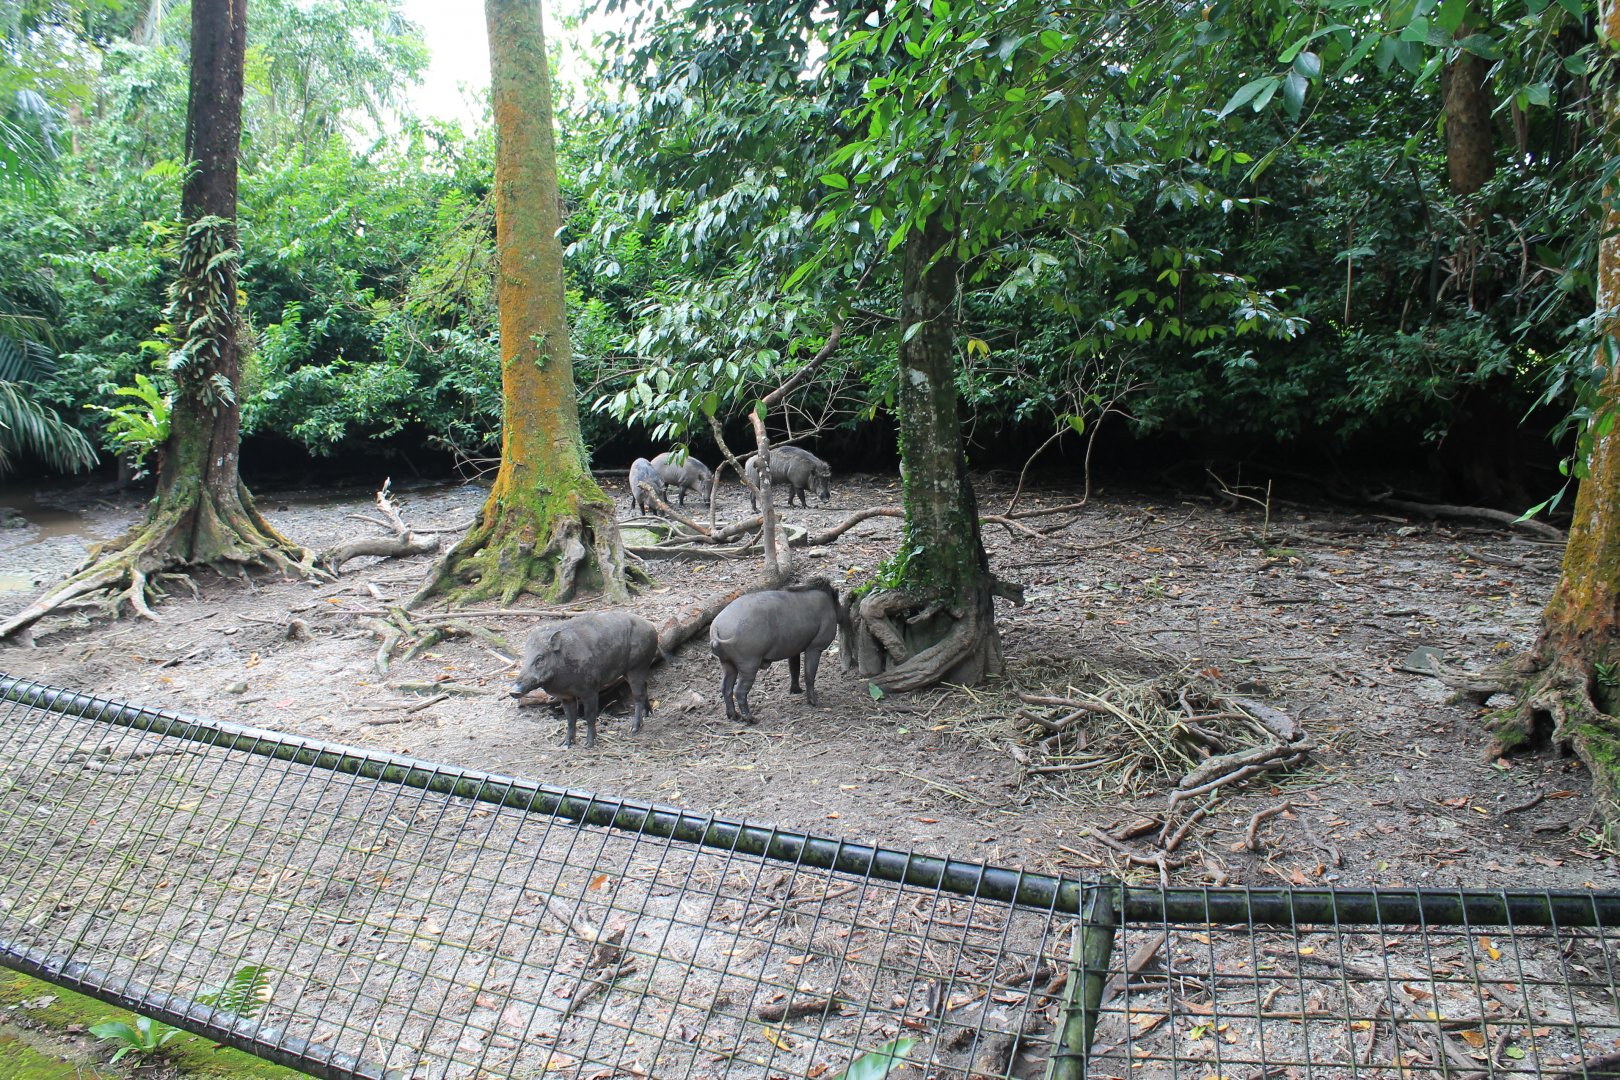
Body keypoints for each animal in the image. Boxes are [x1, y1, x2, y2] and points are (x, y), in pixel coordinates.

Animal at [510, 611, 660, 748]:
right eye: (525, 657)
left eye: (539, 659)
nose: (513, 691)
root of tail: (652, 627)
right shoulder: (566, 696)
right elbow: (570, 718)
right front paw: (564, 744)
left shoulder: (590, 689)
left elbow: (589, 715)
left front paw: (588, 744)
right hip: (629, 671)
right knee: (645, 687)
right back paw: (648, 714)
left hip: (638, 665)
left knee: (638, 695)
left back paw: (634, 729)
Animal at [709, 578, 841, 724]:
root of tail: (716, 628)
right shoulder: (815, 648)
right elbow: (809, 674)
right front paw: (814, 702)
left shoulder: (794, 649)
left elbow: (794, 669)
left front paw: (796, 691)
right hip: (748, 665)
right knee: (739, 692)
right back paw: (751, 719)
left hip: (727, 663)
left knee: (726, 688)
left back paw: (733, 716)